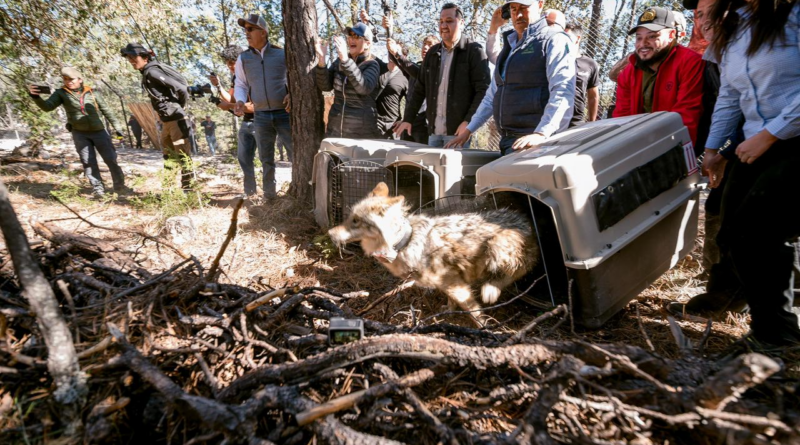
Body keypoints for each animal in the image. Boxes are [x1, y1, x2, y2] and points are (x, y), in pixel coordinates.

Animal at [328, 182, 539, 320]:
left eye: (356, 221)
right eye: (349, 218)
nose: (329, 233)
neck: (405, 242)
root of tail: (524, 220)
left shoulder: (455, 285)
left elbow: (474, 311)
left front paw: (485, 328)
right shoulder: (449, 284)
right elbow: (451, 301)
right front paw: (448, 311)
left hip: (496, 245)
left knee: (518, 270)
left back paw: (491, 289)